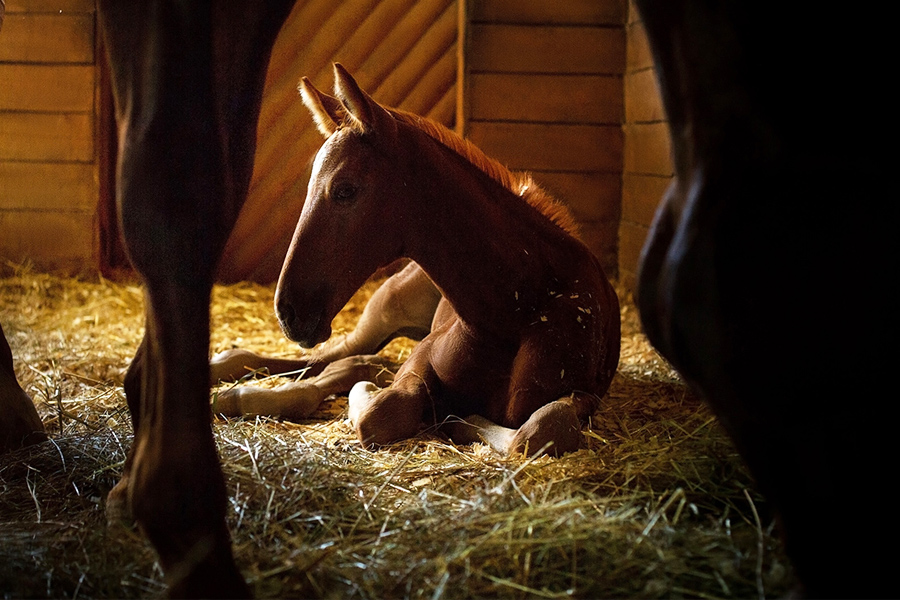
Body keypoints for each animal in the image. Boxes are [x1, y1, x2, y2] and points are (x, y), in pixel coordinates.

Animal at [249, 64, 621, 458]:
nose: (287, 311)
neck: (512, 312)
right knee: (328, 358)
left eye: (345, 190)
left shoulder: (584, 393)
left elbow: (541, 428)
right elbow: (381, 411)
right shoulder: (419, 362)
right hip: (380, 316)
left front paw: (460, 420)